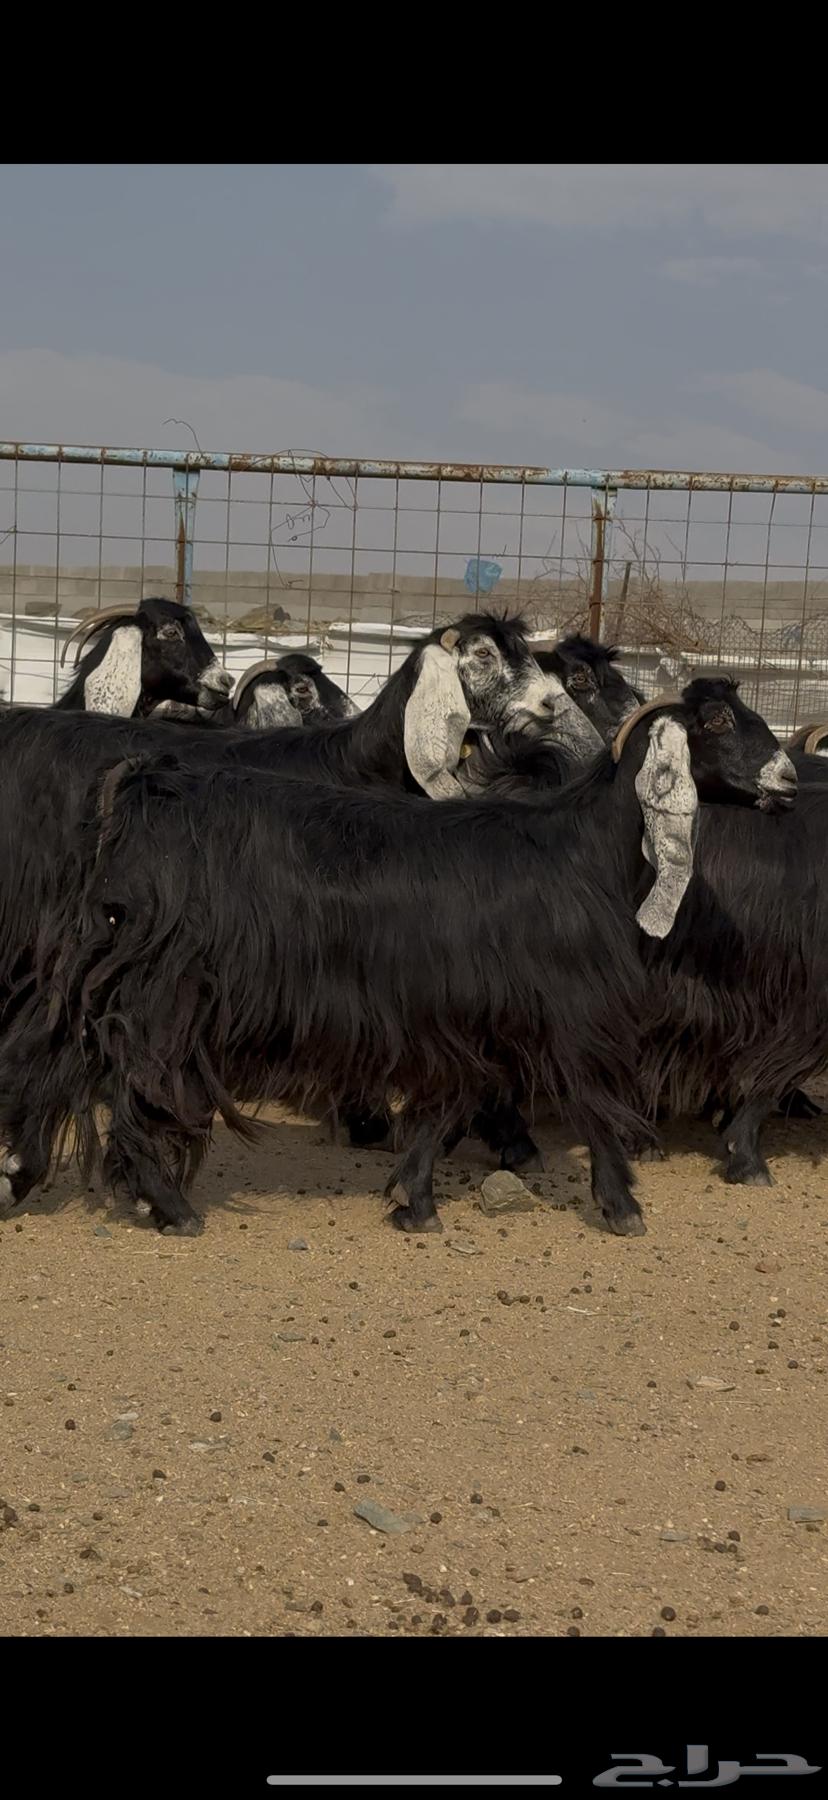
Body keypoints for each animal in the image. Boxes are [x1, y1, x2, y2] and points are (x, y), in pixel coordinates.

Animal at [0, 681, 792, 1240]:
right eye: (715, 721)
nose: (786, 780)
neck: (581, 851)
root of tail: (142, 787)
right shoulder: (568, 1011)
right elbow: (594, 1105)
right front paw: (623, 1205)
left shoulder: (466, 1014)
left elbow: (449, 1106)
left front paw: (414, 1199)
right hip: (166, 987)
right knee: (129, 1073)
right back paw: (168, 1204)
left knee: (75, 1058)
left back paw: (40, 1173)